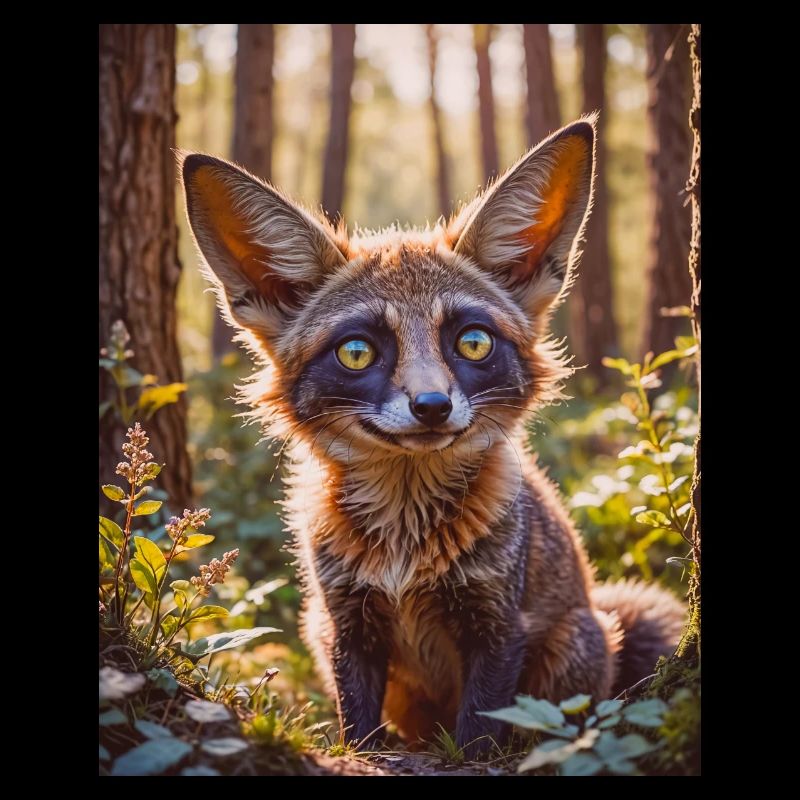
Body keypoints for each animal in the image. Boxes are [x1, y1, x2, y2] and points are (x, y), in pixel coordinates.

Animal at [179, 115, 685, 756]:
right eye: (357, 351)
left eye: (473, 342)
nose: (432, 406)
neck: (405, 550)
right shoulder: (347, 622)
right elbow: (358, 732)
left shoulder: (497, 625)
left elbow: (477, 737)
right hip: (316, 628)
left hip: (574, 641)